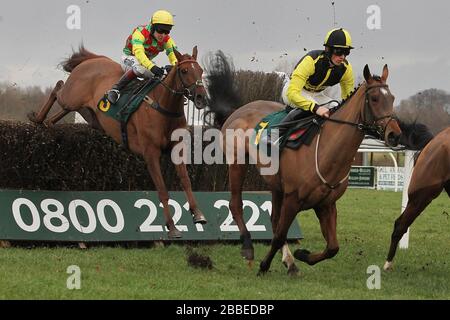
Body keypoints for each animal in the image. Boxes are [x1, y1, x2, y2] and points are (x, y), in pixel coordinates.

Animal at [28, 45, 209, 238]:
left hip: (88, 114)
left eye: (200, 70)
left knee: (57, 113)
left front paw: (198, 214)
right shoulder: (150, 153)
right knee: (58, 88)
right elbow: (162, 190)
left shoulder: (177, 149)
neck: (163, 106)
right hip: (71, 98)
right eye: (184, 71)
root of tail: (93, 60)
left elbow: (186, 181)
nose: (201, 98)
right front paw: (172, 228)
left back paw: (45, 122)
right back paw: (37, 118)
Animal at [206, 53, 402, 276]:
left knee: (274, 218)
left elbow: (332, 247)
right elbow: (280, 235)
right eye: (375, 98)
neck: (327, 150)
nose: (394, 135)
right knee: (236, 204)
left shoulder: (326, 204)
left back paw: (289, 260)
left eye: (392, 98)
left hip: (276, 184)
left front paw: (301, 255)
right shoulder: (293, 199)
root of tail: (237, 110)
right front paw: (264, 266)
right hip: (237, 163)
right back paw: (248, 247)